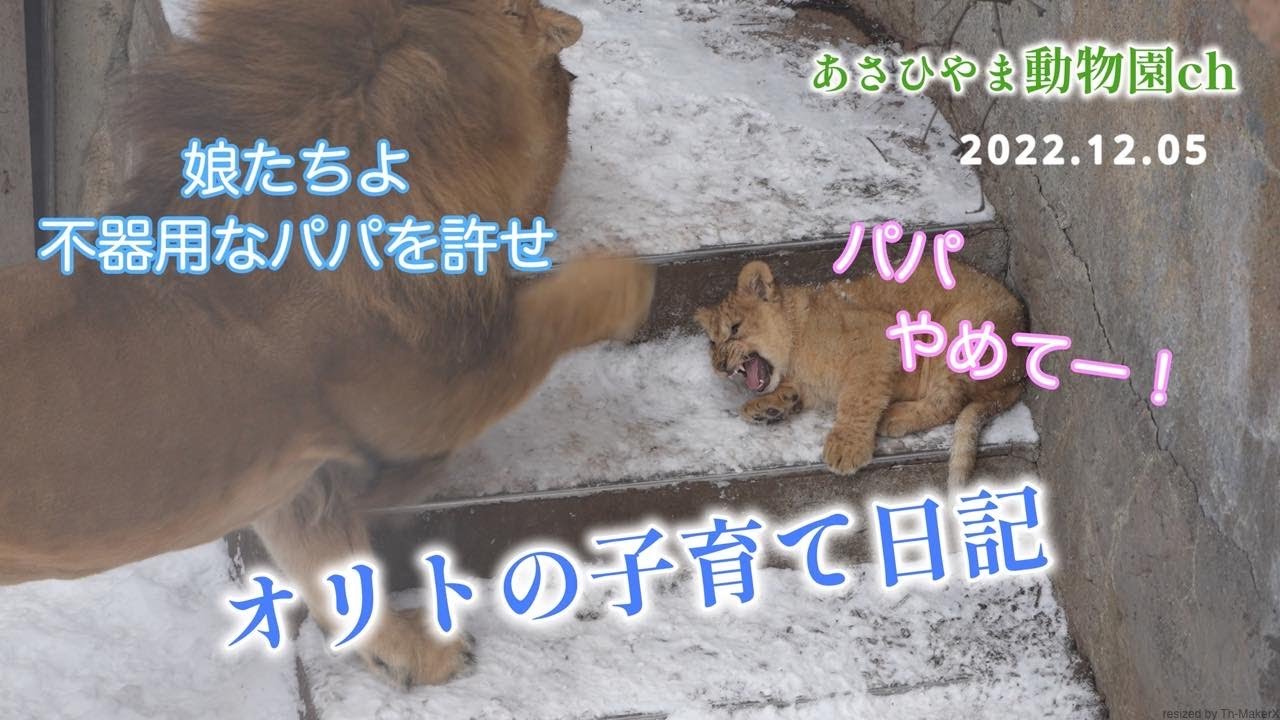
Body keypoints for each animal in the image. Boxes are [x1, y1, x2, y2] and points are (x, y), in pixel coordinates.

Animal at [0, 0, 653, 687]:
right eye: (568, 83)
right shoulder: (420, 406)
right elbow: (549, 314)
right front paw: (626, 281)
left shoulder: (289, 478)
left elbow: (330, 566)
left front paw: (411, 654)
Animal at [695, 260, 1027, 485]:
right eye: (712, 342)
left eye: (735, 328)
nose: (719, 366)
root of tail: (1018, 373)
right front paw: (770, 407)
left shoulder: (876, 338)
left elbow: (859, 397)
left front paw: (847, 447)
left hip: (960, 327)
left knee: (949, 401)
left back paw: (895, 416)